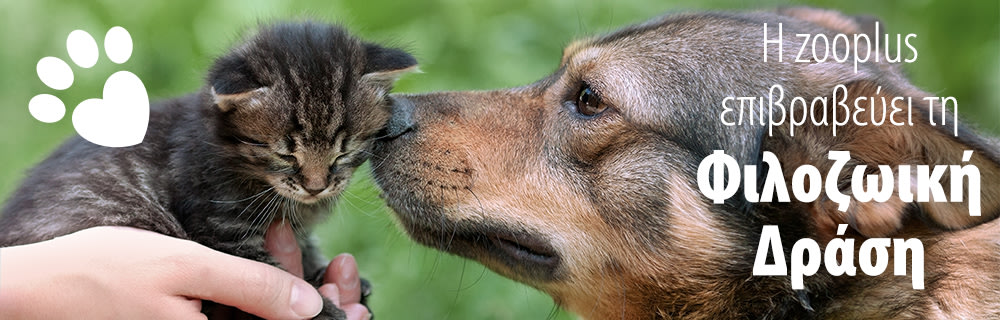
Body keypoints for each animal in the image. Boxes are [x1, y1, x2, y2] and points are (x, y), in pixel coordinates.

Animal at [0, 21, 414, 318]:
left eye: (343, 151)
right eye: (285, 154)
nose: (317, 186)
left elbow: (305, 246)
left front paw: (321, 272)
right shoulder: (219, 229)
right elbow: (272, 269)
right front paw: (316, 306)